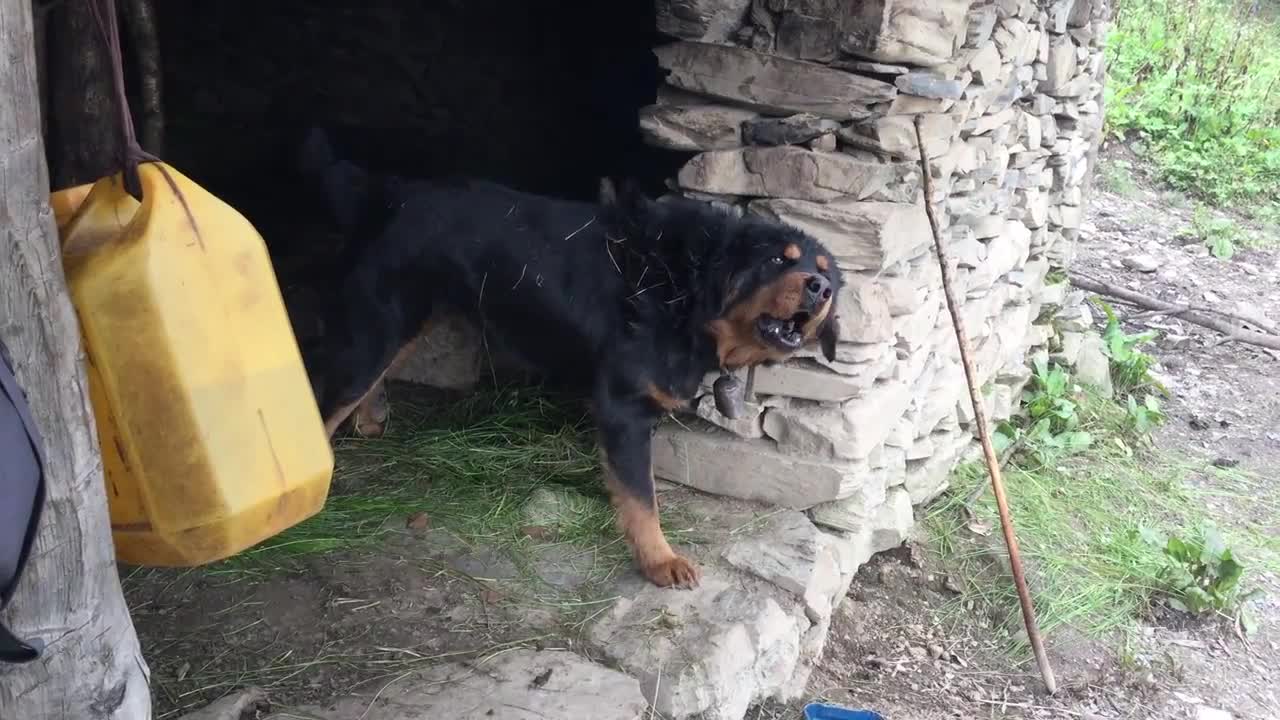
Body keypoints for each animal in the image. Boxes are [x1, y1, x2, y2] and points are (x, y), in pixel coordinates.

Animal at [295, 128, 844, 586]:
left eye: (826, 274)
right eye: (776, 261)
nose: (819, 288)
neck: (687, 291)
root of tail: (382, 191)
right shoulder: (624, 407)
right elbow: (643, 497)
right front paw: (660, 561)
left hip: (401, 323)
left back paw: (370, 419)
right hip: (376, 329)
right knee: (329, 399)